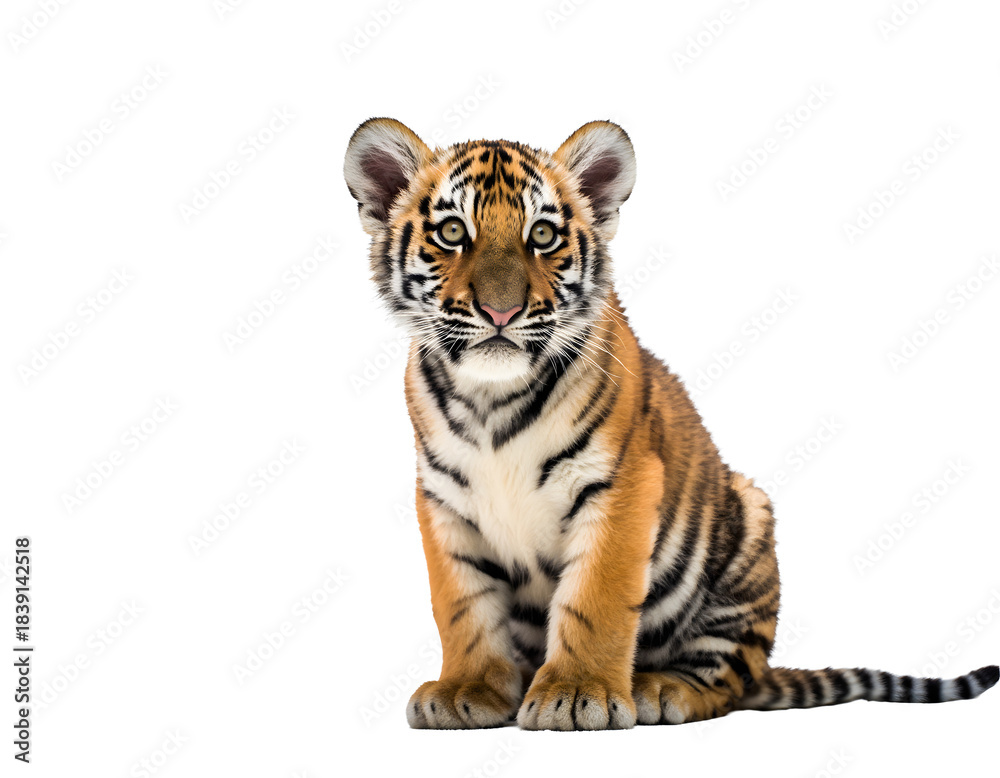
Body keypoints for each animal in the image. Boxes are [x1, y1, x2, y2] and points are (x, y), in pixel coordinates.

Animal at [343, 117, 999, 730]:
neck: (490, 399)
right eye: (452, 232)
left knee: (725, 678)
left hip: (746, 534)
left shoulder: (621, 485)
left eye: (543, 235)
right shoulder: (445, 501)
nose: (500, 312)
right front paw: (468, 690)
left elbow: (595, 598)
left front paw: (575, 693)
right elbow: (463, 606)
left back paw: (661, 688)